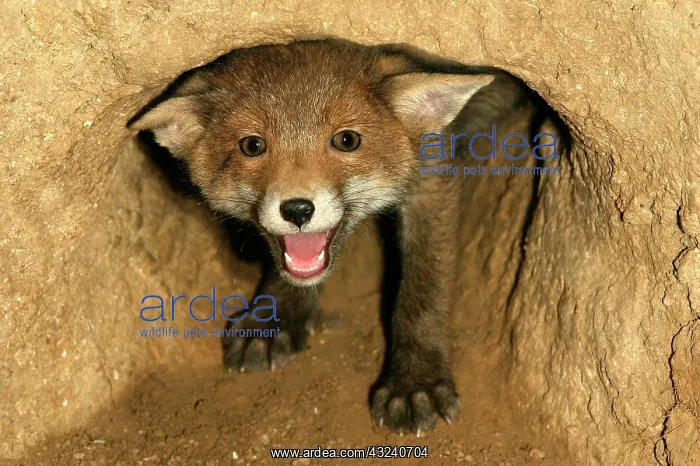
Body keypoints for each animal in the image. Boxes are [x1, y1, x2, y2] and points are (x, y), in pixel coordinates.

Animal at [127, 38, 537, 434]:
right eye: (252, 145)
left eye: (347, 140)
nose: (297, 210)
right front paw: (275, 319)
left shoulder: (433, 180)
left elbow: (422, 292)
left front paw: (415, 380)